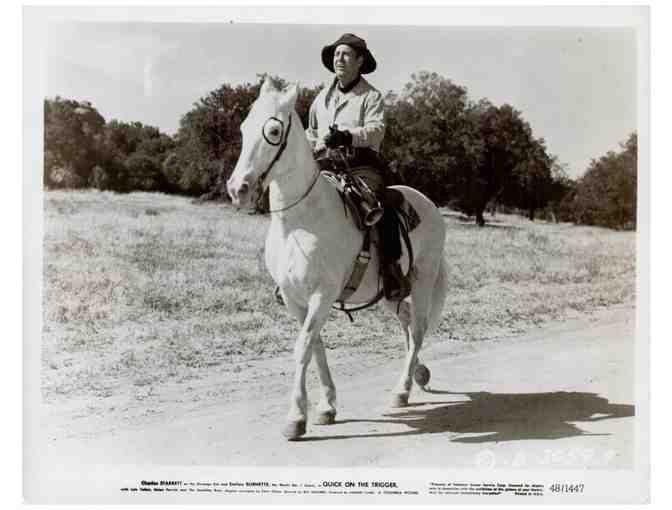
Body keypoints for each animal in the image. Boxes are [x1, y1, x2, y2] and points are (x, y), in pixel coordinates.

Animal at [226, 77, 446, 440]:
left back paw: (402, 390)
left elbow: (303, 347)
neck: (300, 221)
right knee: (407, 320)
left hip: (424, 280)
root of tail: (429, 205)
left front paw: (295, 418)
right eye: (244, 127)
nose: (237, 189)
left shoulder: (322, 295)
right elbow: (315, 346)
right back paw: (419, 374)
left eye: (273, 131)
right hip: (390, 292)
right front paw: (327, 406)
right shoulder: (295, 299)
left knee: (418, 327)